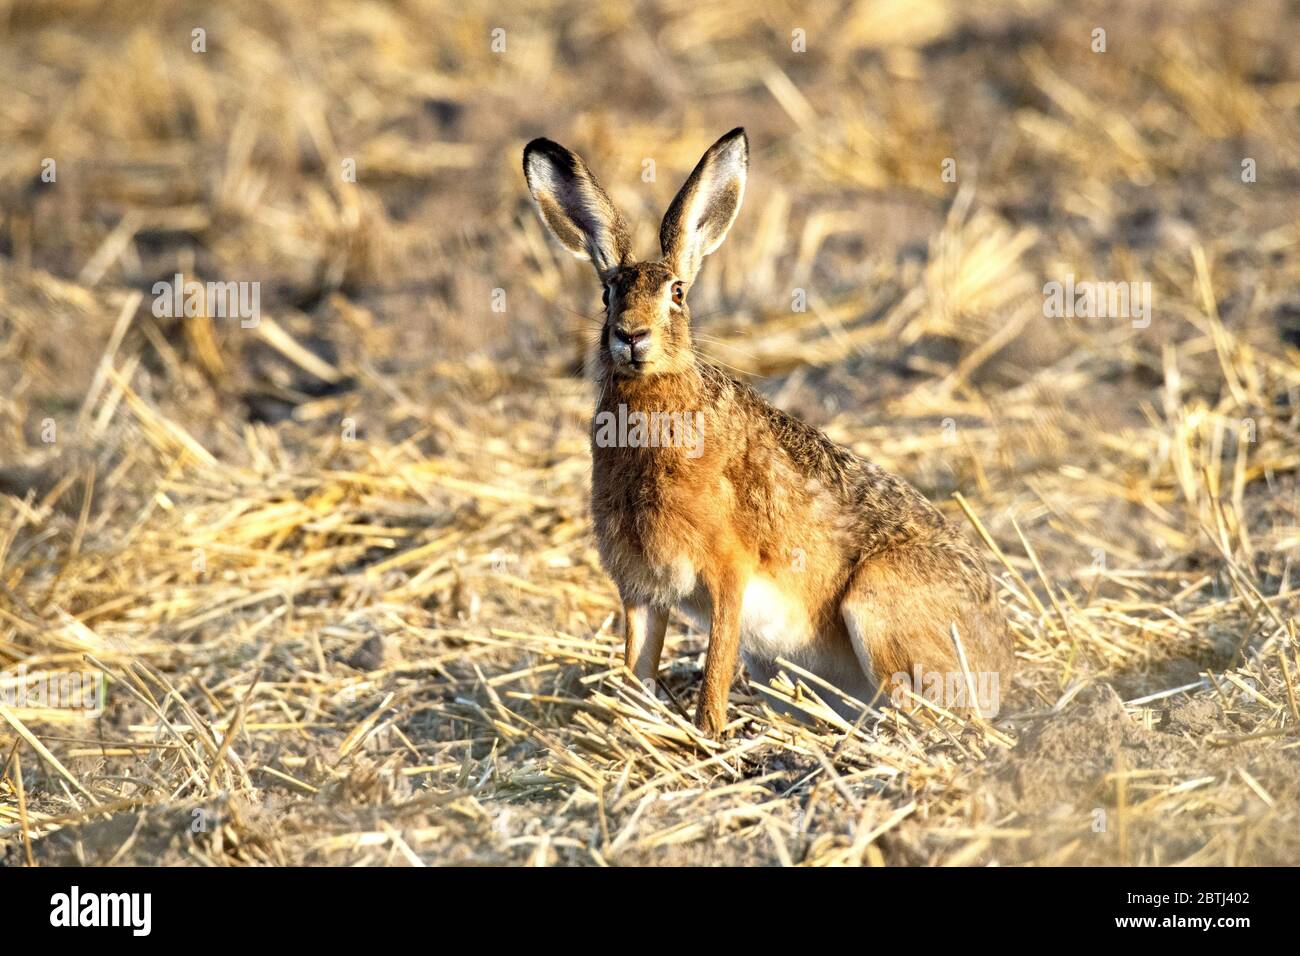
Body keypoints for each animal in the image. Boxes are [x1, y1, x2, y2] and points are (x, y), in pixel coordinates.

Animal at [523, 128, 1013, 736]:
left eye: (678, 293)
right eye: (608, 293)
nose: (631, 336)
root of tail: (1001, 671)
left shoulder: (727, 575)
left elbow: (714, 671)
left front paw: (707, 736)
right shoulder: (639, 590)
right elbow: (637, 669)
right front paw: (634, 729)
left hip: (877, 603)